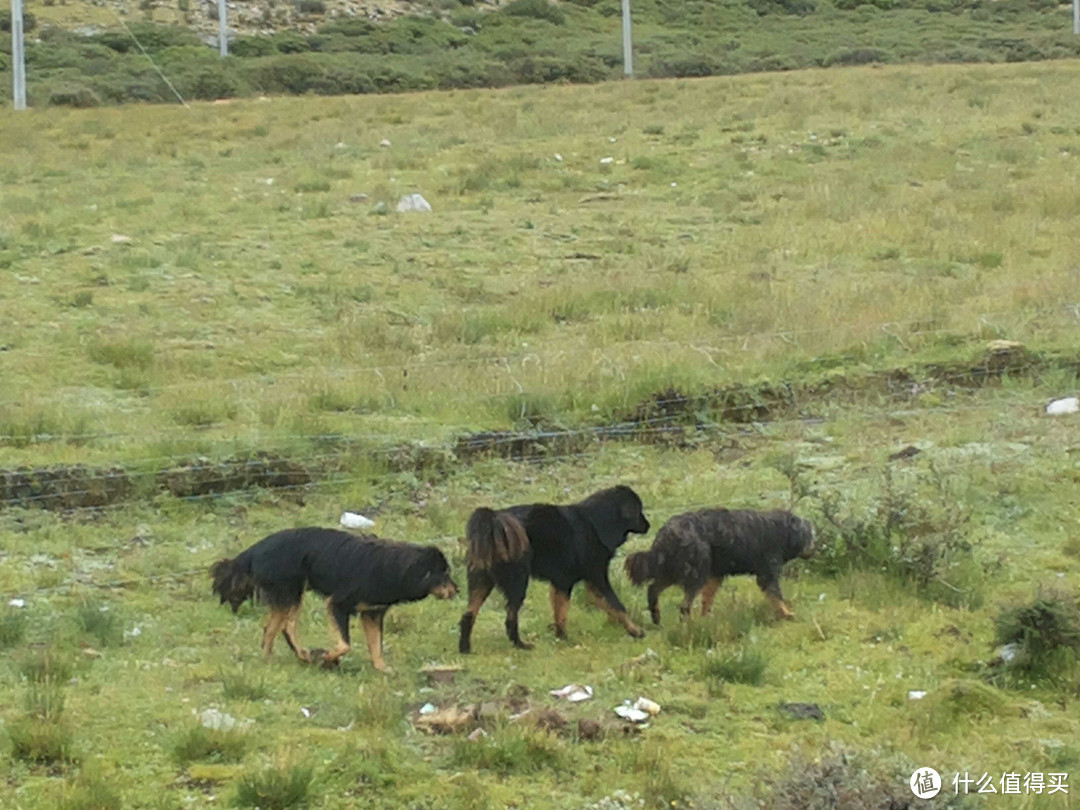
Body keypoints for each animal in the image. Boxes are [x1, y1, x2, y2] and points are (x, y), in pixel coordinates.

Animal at [209, 527, 455, 673]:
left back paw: (276, 658)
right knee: (284, 627)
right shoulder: (338, 605)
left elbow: (376, 645)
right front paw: (328, 658)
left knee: (271, 628)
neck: (393, 567)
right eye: (444, 574)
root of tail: (255, 549)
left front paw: (382, 669)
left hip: (289, 595)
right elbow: (345, 644)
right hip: (292, 593)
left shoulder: (372, 613)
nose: (457, 590)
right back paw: (298, 655)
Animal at [457, 486, 648, 656]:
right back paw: (520, 645)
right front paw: (636, 631)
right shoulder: (596, 579)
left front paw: (560, 637)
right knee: (510, 618)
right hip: (518, 583)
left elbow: (560, 612)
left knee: (468, 615)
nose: (649, 525)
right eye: (639, 510)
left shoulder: (561, 583)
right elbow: (616, 605)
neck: (597, 522)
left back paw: (465, 649)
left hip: (480, 583)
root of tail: (493, 520)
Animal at [622, 507, 812, 626]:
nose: (814, 549)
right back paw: (687, 626)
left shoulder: (715, 576)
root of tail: (667, 532)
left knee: (653, 589)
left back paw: (656, 617)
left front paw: (707, 619)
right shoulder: (768, 572)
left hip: (672, 570)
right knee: (683, 606)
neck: (782, 529)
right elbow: (777, 596)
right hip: (695, 571)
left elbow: (707, 600)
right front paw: (787, 613)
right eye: (811, 535)